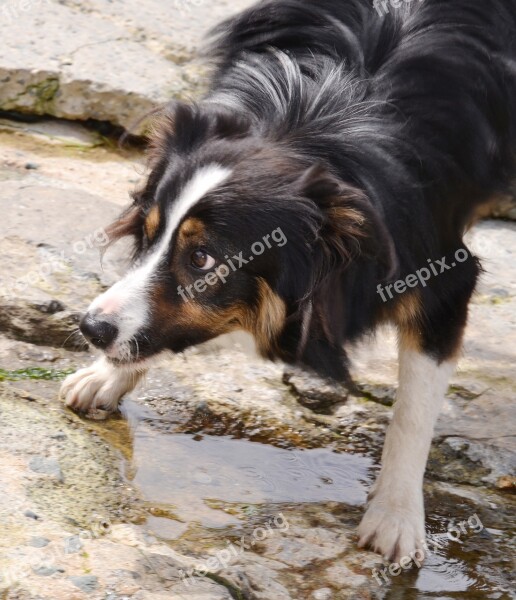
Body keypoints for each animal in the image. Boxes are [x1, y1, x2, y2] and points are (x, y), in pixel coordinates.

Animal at [59, 0, 516, 564]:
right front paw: (100, 378)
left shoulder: (435, 263)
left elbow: (414, 407)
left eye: (202, 259)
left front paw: (394, 523)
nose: (90, 328)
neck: (316, 122)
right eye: (147, 232)